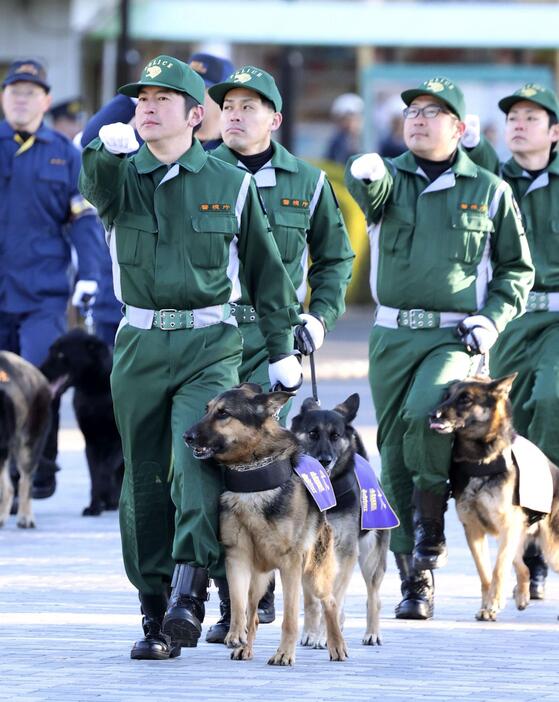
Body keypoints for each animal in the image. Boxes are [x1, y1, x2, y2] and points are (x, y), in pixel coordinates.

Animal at [41, 330, 123, 516]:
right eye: (50, 350)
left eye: (60, 354)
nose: (39, 370)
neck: (94, 392)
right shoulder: (90, 442)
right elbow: (95, 477)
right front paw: (94, 507)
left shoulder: (119, 441)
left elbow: (105, 470)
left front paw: (104, 498)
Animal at [186, 384, 348, 664]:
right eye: (207, 410)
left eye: (223, 413)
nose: (187, 436)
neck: (251, 474)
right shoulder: (237, 557)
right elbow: (238, 603)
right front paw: (235, 633)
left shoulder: (291, 564)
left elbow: (290, 618)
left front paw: (284, 653)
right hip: (260, 578)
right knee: (252, 611)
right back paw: (245, 647)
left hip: (312, 574)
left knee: (329, 602)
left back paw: (336, 645)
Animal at [294, 394, 390, 648]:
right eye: (313, 434)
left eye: (335, 436)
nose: (325, 460)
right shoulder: (306, 551)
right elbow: (312, 601)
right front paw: (311, 633)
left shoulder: (346, 551)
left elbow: (333, 597)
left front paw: (323, 635)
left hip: (370, 558)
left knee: (373, 597)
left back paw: (372, 632)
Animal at [428, 376, 559, 624]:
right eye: (447, 396)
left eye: (466, 398)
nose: (432, 414)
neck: (480, 459)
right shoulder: (474, 531)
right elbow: (485, 574)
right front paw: (487, 607)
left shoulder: (507, 528)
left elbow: (498, 570)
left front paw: (494, 603)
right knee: (523, 568)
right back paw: (522, 596)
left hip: (549, 548)